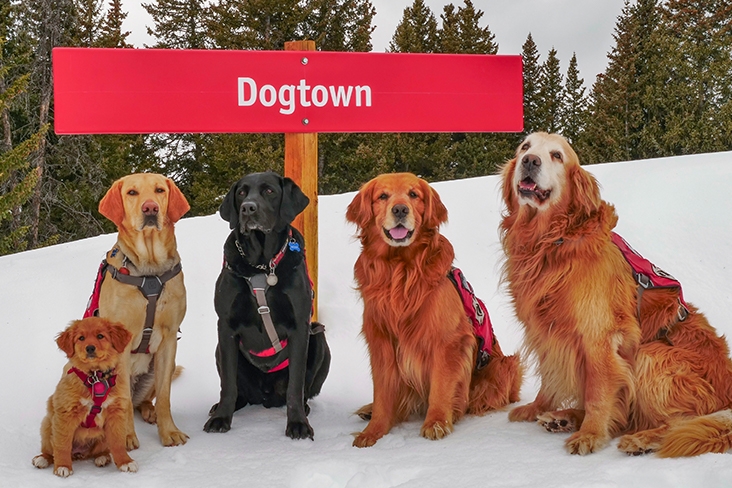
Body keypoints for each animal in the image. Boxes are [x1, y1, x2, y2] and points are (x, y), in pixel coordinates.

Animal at [33, 316, 137, 476]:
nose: (90, 348)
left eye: (100, 336)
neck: (95, 377)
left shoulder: (116, 414)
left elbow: (118, 443)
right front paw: (63, 466)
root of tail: (79, 453)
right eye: (81, 338)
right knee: (50, 450)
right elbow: (62, 444)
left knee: (101, 450)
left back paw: (102, 457)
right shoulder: (65, 414)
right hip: (47, 424)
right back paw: (43, 459)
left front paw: (125, 462)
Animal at [96, 173, 190, 448]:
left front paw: (169, 432)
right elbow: (123, 402)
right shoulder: (121, 346)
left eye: (159, 190)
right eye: (132, 193)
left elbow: (166, 396)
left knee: (145, 400)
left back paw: (149, 410)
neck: (150, 272)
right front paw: (126, 437)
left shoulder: (169, 340)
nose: (150, 208)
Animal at [203, 172, 328, 438]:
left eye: (269, 191)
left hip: (318, 334)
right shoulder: (226, 327)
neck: (261, 266)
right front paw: (221, 419)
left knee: (301, 389)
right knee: (237, 390)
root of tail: (265, 398)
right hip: (219, 349)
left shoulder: (300, 326)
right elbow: (228, 383)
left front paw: (298, 424)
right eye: (241, 192)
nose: (247, 208)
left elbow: (295, 385)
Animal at [348, 173, 524, 448]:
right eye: (383, 196)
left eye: (413, 194)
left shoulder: (449, 341)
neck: (400, 269)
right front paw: (373, 431)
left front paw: (437, 422)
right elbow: (383, 393)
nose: (400, 210)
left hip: (505, 365)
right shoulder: (381, 341)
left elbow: (441, 385)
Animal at [504, 132, 732, 456]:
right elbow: (550, 377)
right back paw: (563, 418)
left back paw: (642, 439)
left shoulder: (600, 335)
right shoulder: (545, 331)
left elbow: (599, 393)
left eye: (557, 155)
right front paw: (538, 407)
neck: (552, 240)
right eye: (525, 147)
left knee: (679, 422)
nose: (530, 161)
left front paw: (591, 434)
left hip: (651, 354)